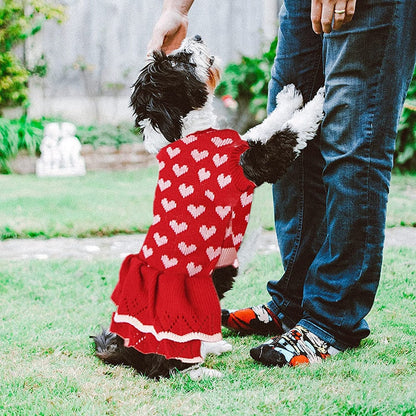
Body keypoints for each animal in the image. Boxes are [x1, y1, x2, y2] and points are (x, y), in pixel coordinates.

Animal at [92, 36, 324, 380]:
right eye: (181, 61)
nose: (197, 37)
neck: (186, 133)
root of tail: (124, 348)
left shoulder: (244, 147)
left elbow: (264, 126)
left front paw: (289, 99)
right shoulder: (256, 164)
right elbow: (287, 135)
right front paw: (319, 101)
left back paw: (212, 348)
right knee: (162, 368)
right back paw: (201, 372)